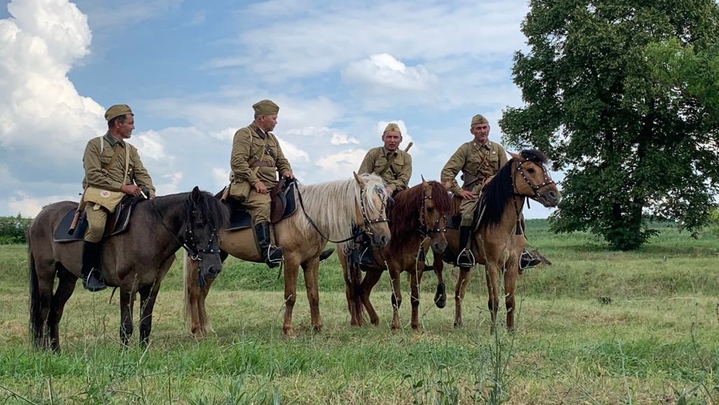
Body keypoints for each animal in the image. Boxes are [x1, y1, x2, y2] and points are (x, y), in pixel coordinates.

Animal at [28, 187, 228, 350]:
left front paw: (143, 352)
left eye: (218, 225)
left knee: (56, 310)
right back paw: (42, 350)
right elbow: (126, 324)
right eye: (200, 224)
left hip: (68, 278)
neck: (150, 232)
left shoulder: (152, 286)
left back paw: (56, 351)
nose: (214, 268)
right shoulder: (127, 285)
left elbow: (145, 323)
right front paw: (124, 354)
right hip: (45, 273)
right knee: (44, 310)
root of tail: (40, 215)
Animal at [183, 173, 390, 338]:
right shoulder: (292, 259)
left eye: (385, 202)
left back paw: (206, 328)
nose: (384, 237)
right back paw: (196, 330)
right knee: (194, 293)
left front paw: (317, 326)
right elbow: (290, 295)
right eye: (368, 204)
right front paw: (288, 329)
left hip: (214, 261)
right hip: (199, 261)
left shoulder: (312, 261)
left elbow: (314, 295)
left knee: (202, 293)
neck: (306, 218)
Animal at [338, 178, 450, 330]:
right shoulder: (393, 269)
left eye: (447, 211)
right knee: (351, 292)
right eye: (429, 208)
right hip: (349, 268)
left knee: (363, 291)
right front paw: (395, 325)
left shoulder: (418, 268)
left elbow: (415, 297)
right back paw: (355, 321)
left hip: (375, 270)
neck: (405, 232)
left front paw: (415, 325)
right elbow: (396, 298)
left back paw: (374, 319)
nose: (441, 245)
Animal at [434, 148, 564, 332]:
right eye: (530, 169)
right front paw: (493, 331)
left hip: (466, 265)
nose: (554, 195)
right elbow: (493, 300)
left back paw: (458, 323)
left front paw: (511, 330)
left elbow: (510, 300)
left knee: (459, 292)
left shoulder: (511, 265)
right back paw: (440, 298)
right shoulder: (492, 265)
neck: (504, 224)